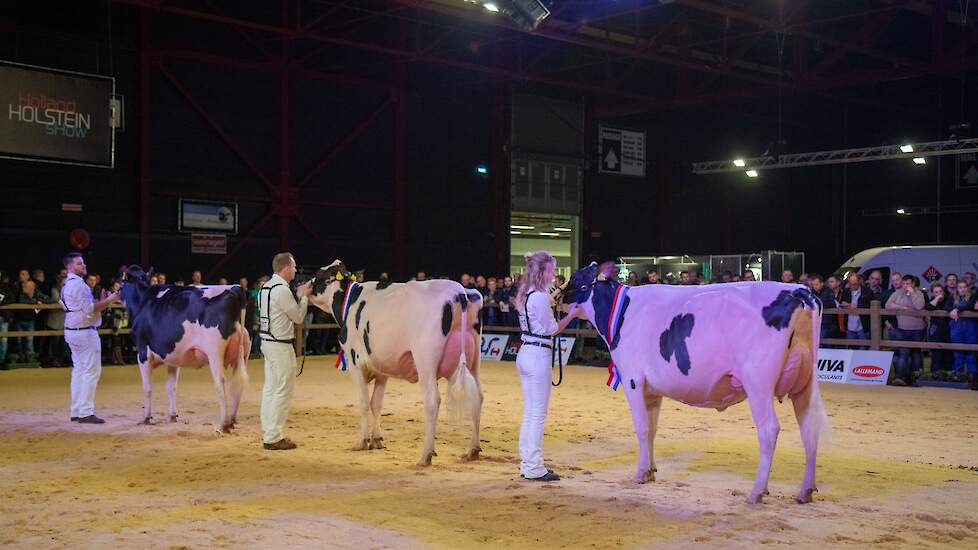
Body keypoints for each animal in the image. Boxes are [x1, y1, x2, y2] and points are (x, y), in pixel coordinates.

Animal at [120, 268, 250, 436]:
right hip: (242, 354)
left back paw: (223, 425)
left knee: (221, 382)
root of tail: (235, 288)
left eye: (121, 282)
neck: (143, 300)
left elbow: (147, 387)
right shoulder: (173, 356)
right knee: (238, 384)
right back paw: (232, 421)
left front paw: (146, 418)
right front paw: (172, 416)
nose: (116, 292)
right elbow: (171, 386)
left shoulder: (143, 353)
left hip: (215, 352)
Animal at [308, 262, 484, 466]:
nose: (299, 285)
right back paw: (472, 450)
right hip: (474, 360)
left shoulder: (355, 363)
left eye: (318, 276)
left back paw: (425, 455)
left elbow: (363, 402)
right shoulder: (382, 368)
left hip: (425, 360)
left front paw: (361, 441)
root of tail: (461, 292)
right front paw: (376, 440)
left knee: (432, 400)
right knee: (477, 397)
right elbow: (376, 403)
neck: (350, 302)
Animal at [564, 264, 824, 504]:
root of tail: (799, 291)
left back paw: (756, 492)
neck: (623, 311)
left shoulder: (633, 380)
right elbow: (652, 429)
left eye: (574, 279)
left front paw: (639, 474)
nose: (558, 298)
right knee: (810, 429)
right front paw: (650, 471)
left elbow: (642, 427)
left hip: (758, 382)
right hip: (806, 382)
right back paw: (805, 491)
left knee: (769, 429)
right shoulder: (652, 391)